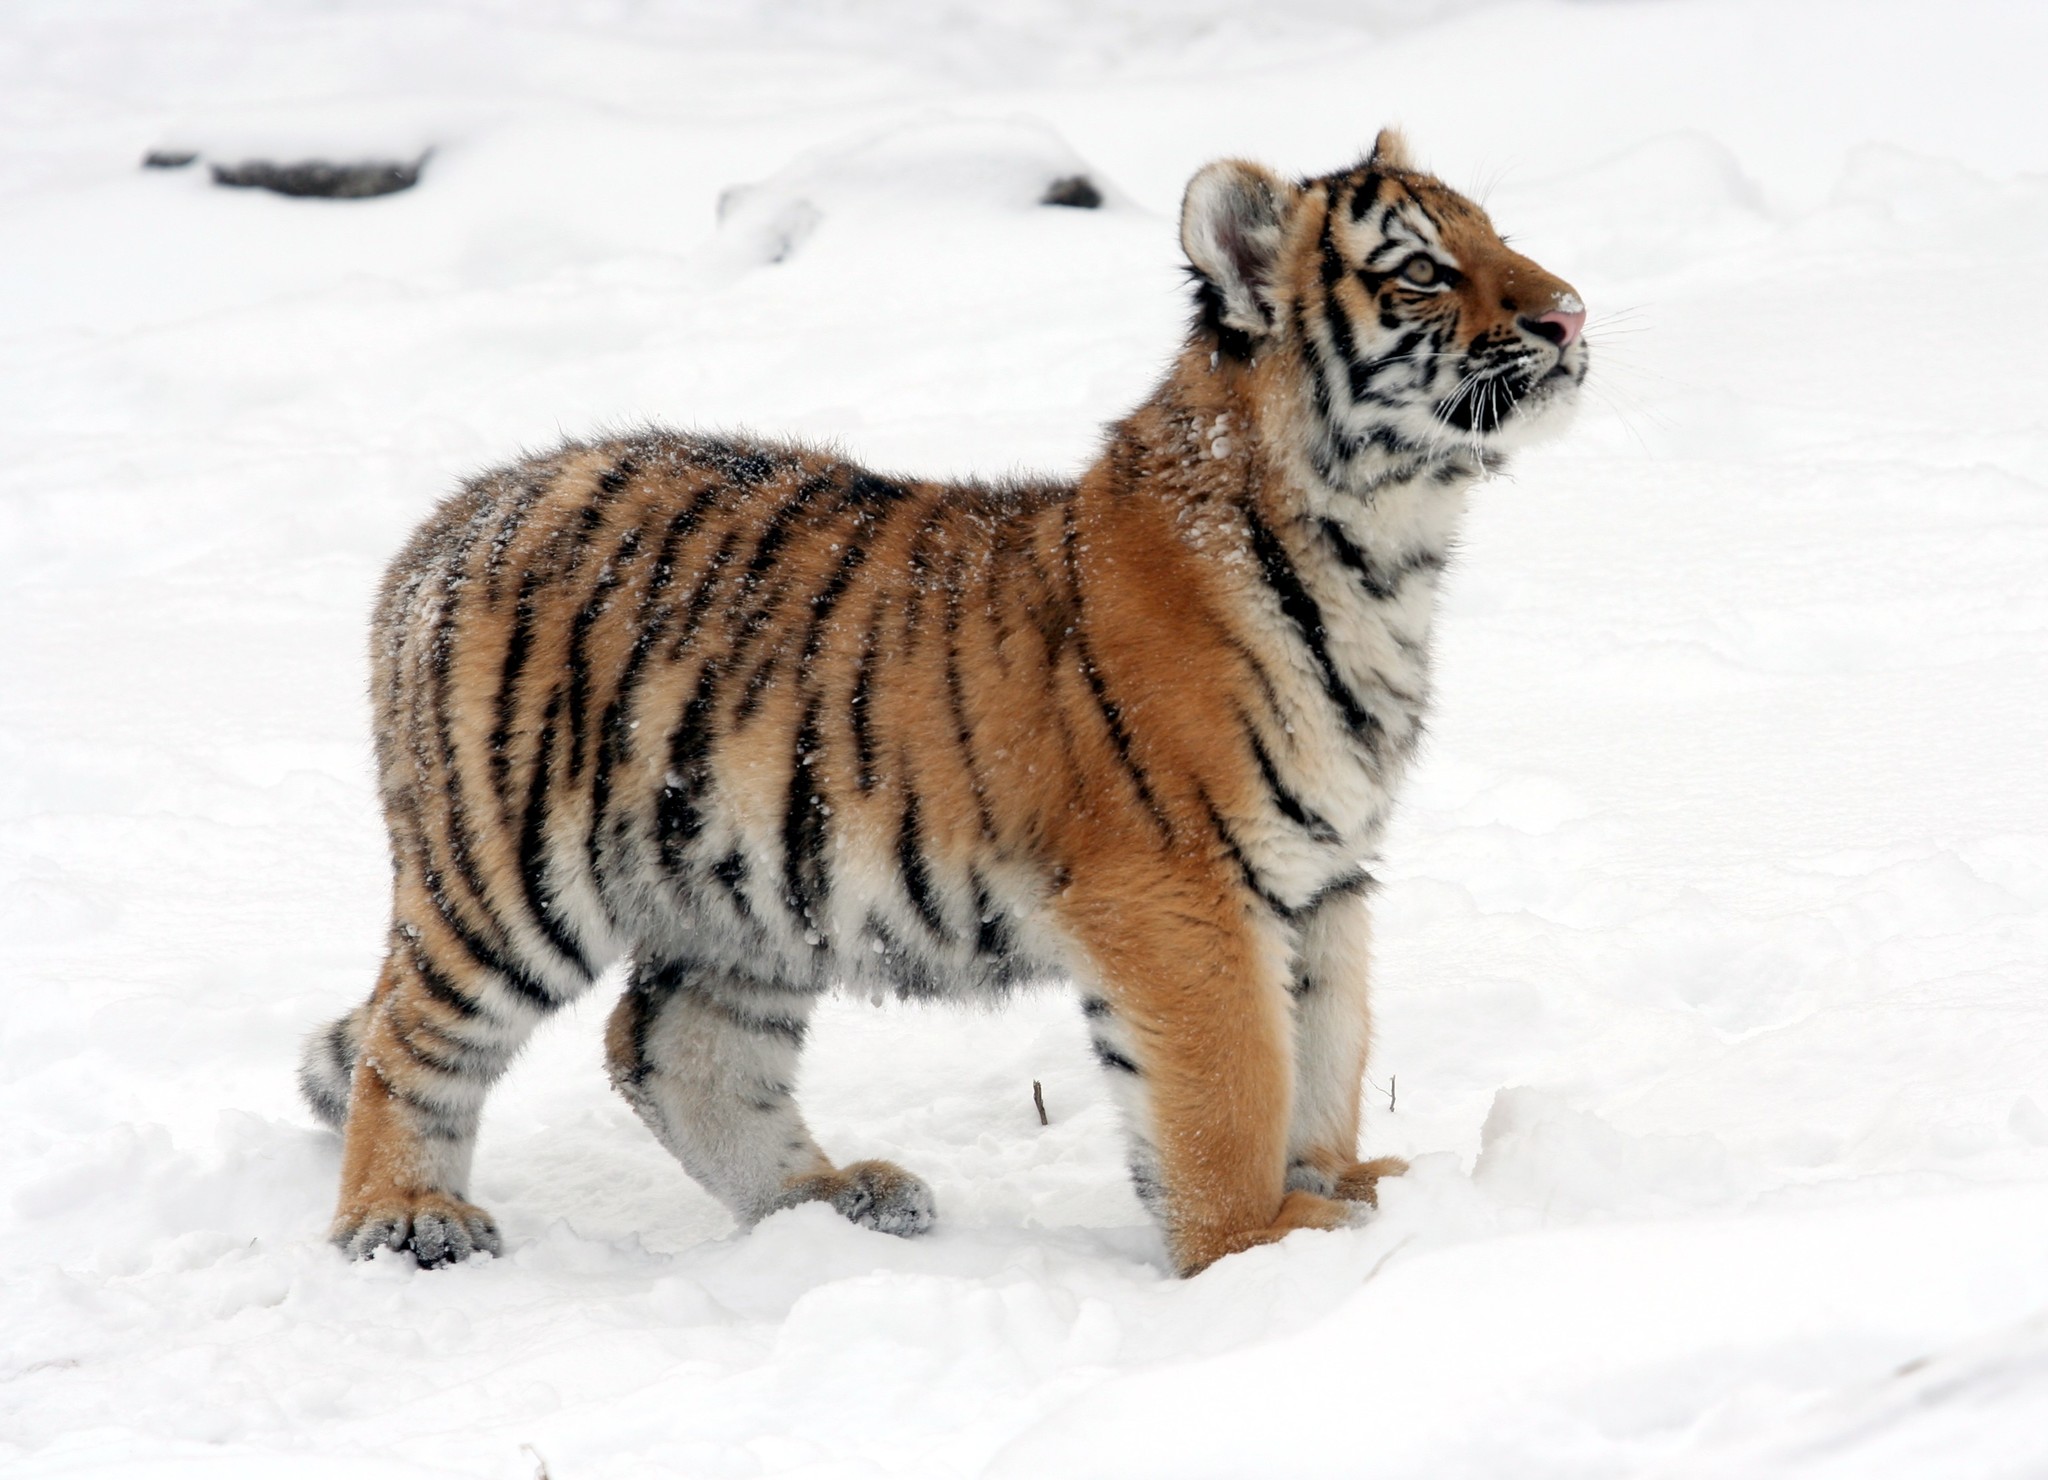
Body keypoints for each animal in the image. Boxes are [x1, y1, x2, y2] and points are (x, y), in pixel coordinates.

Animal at [299, 128, 1587, 1277]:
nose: (1569, 316)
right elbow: (1231, 1083)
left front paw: (1349, 1189)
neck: (1385, 552)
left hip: (745, 890)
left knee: (670, 1046)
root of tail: (451, 518)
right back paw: (405, 1219)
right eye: (1420, 270)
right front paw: (1259, 1246)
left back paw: (831, 1202)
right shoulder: (1183, 888)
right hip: (507, 873)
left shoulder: (1322, 878)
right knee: (409, 1040)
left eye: (1495, 235)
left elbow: (1327, 1048)